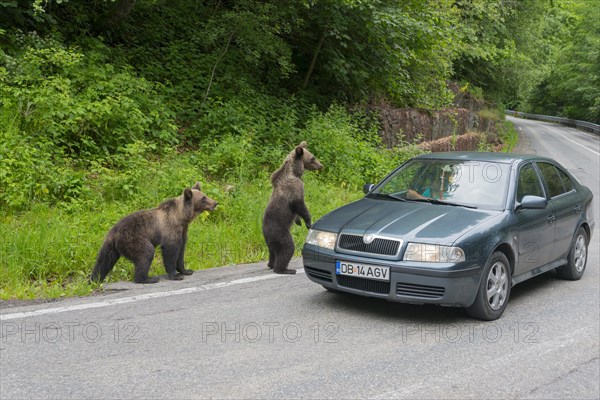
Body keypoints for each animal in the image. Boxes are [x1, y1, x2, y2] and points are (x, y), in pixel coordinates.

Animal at [260, 141, 322, 276]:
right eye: (313, 158)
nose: (321, 165)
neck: (294, 172)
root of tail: (265, 233)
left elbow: (298, 211)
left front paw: (298, 221)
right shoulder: (295, 188)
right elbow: (301, 205)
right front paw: (308, 223)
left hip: (271, 242)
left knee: (273, 253)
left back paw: (271, 264)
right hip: (280, 233)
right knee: (287, 248)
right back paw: (286, 269)